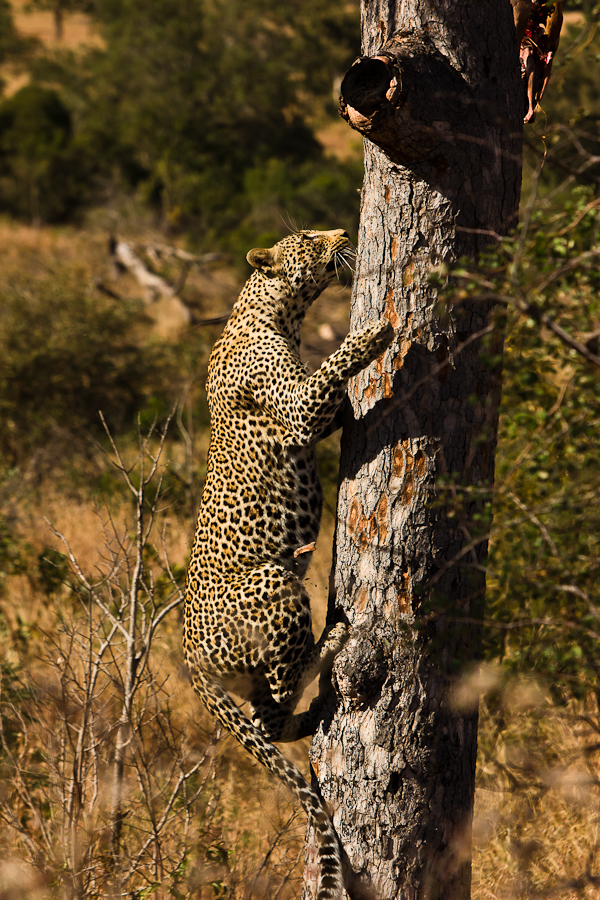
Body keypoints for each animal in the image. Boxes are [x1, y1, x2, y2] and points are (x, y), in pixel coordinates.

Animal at [183, 228, 395, 900]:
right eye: (304, 238)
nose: (343, 232)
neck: (275, 311)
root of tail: (188, 658)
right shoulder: (299, 408)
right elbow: (330, 373)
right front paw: (372, 335)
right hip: (275, 579)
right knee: (282, 682)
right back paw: (331, 642)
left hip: (250, 673)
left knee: (268, 719)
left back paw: (308, 717)